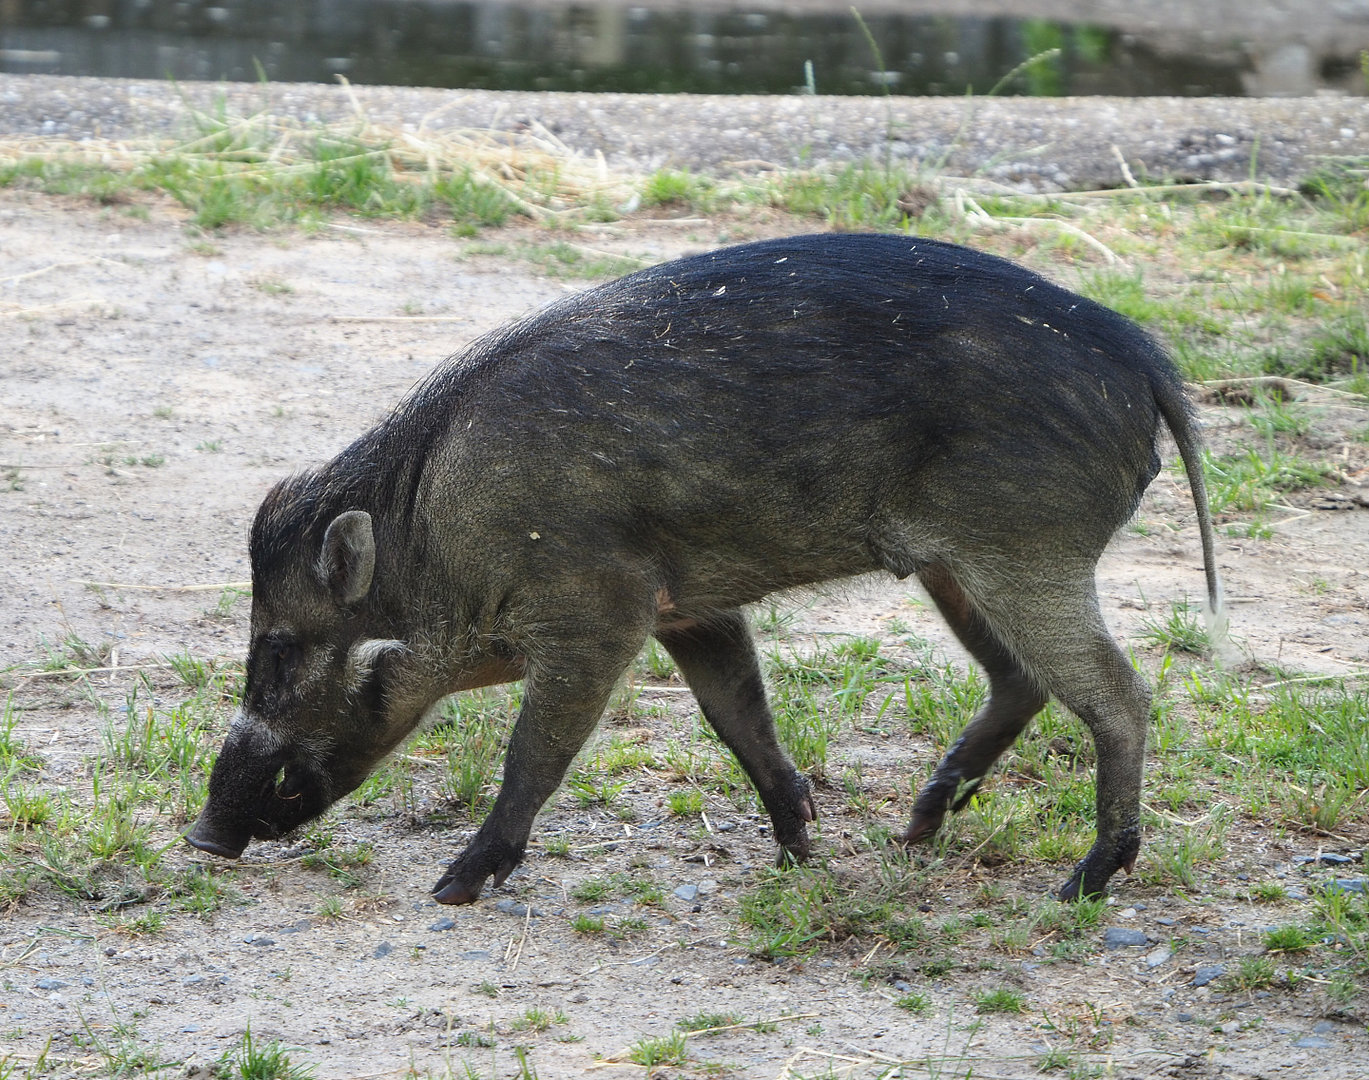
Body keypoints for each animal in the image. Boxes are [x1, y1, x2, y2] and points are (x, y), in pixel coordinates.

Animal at [185, 232, 1222, 905]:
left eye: (283, 647)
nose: (203, 837)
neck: (437, 531)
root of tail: (1145, 363)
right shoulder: (688, 611)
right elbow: (740, 721)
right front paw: (799, 853)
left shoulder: (597, 615)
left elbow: (535, 754)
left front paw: (454, 886)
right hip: (955, 569)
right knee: (1020, 682)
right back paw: (916, 830)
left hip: (1022, 552)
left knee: (1118, 695)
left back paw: (1083, 883)